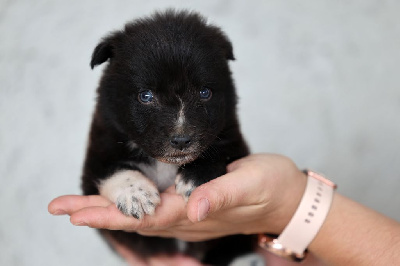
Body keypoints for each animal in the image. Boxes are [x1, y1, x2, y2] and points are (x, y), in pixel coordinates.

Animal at [82, 9, 256, 264]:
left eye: (205, 92)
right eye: (146, 96)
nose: (182, 140)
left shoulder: (232, 139)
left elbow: (218, 152)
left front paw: (197, 177)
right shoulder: (98, 153)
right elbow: (114, 169)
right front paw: (136, 194)